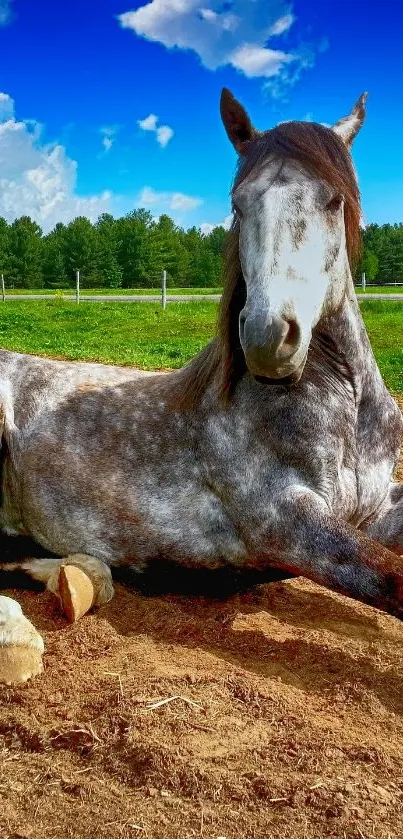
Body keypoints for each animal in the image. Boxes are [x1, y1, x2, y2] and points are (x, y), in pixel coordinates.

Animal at [0, 87, 403, 676]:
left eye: (334, 201)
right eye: (239, 205)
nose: (266, 337)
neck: (345, 409)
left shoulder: (375, 505)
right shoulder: (285, 522)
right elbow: (394, 579)